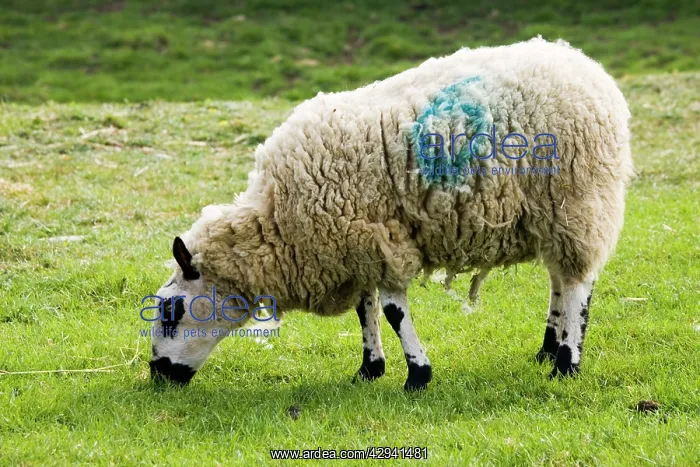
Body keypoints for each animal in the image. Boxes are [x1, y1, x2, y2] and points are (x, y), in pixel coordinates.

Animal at [148, 37, 633, 390]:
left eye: (171, 311)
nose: (156, 374)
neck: (276, 226)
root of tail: (582, 63)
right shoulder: (356, 242)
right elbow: (366, 310)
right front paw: (369, 368)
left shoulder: (382, 241)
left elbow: (394, 311)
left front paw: (417, 375)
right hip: (550, 214)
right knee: (559, 279)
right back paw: (548, 347)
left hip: (576, 199)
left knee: (577, 283)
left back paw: (566, 363)